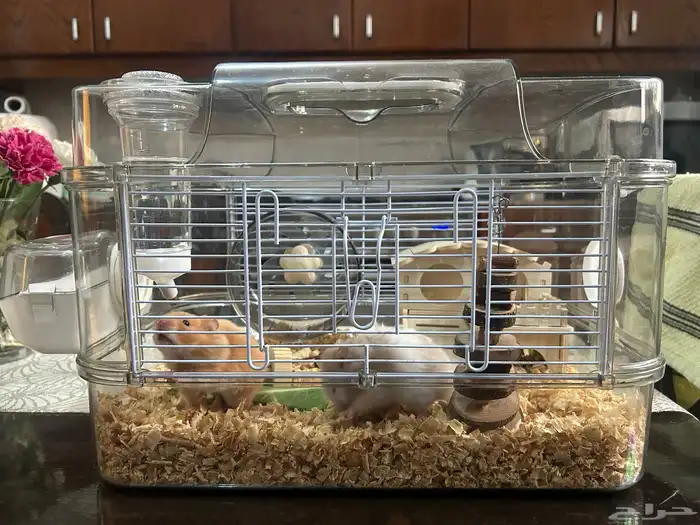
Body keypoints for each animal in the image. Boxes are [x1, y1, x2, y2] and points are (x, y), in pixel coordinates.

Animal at [317, 324, 459, 424]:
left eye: (334, 390)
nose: (337, 410)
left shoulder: (379, 391)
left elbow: (359, 403)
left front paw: (345, 414)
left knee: (423, 410)